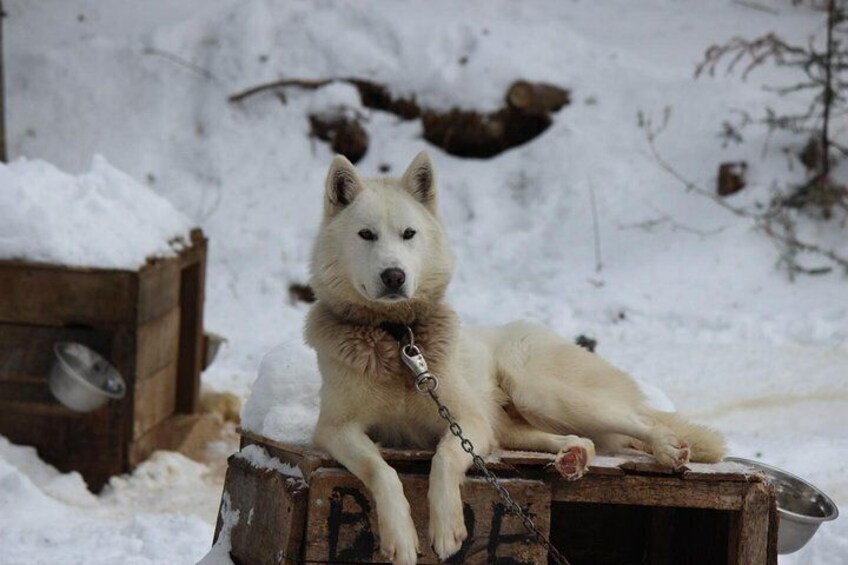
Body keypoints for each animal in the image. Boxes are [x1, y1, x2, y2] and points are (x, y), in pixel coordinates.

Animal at [304, 152, 724, 560]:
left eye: (409, 234)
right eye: (366, 235)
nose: (394, 276)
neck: (397, 338)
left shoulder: (466, 422)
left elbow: (443, 458)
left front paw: (447, 528)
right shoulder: (335, 429)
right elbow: (381, 470)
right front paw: (402, 538)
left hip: (538, 392)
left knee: (636, 419)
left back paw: (667, 447)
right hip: (512, 424)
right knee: (578, 438)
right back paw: (572, 456)